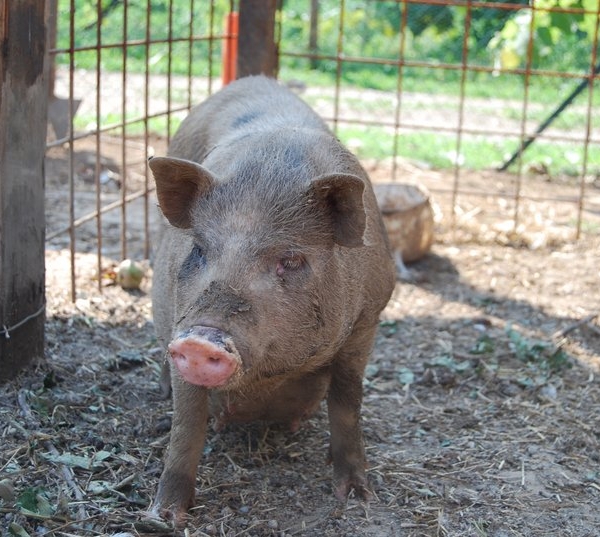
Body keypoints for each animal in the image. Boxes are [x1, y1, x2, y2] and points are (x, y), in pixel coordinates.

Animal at [148, 75, 396, 524]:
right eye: (199, 249)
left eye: (291, 259)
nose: (201, 340)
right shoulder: (179, 319)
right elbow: (187, 422)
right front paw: (163, 517)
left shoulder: (369, 318)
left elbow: (348, 400)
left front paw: (358, 497)